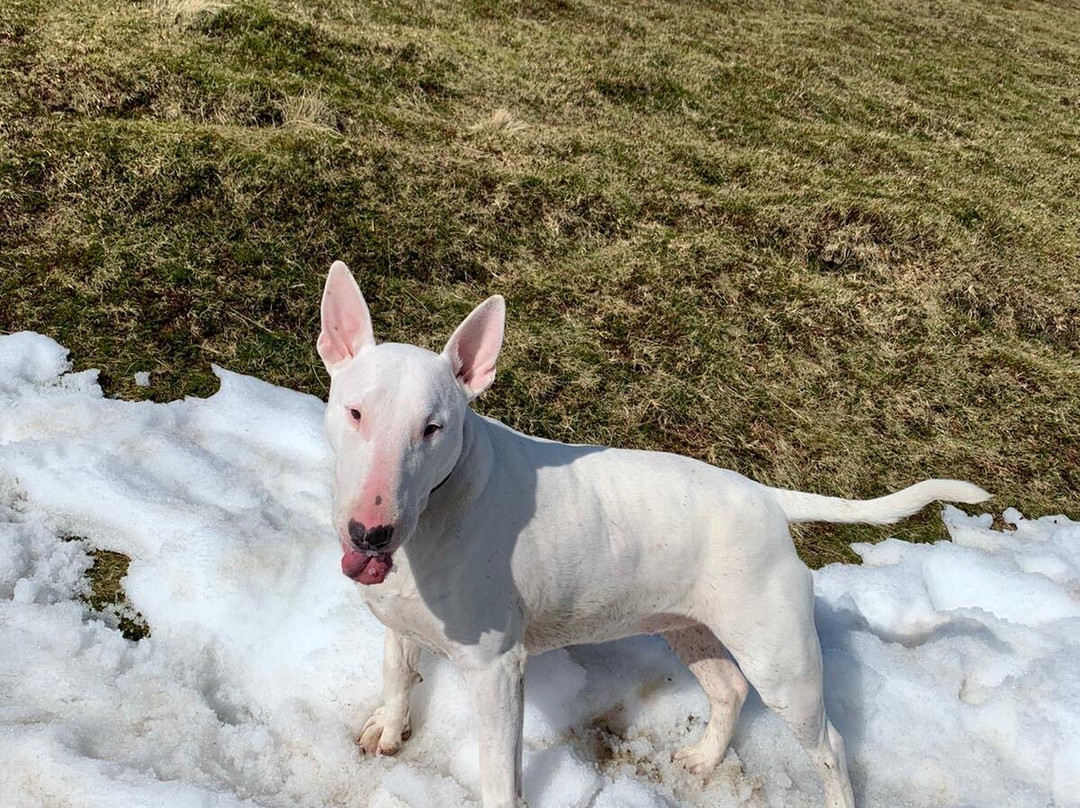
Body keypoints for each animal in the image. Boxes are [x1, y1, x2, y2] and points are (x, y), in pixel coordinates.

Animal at [315, 262, 989, 803]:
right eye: (355, 411)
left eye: (434, 428)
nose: (371, 533)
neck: (435, 511)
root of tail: (767, 498)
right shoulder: (401, 618)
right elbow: (397, 669)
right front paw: (389, 729)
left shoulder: (497, 667)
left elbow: (499, 777)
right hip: (689, 624)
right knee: (729, 690)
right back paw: (705, 758)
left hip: (782, 661)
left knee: (830, 746)